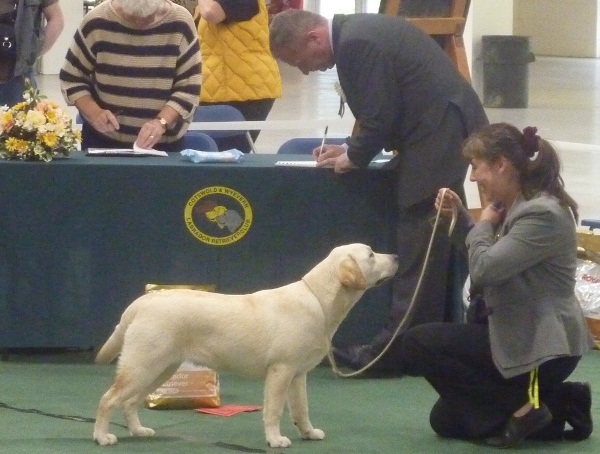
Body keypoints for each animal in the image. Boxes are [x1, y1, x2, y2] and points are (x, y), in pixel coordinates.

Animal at [92, 245, 398, 446]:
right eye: (371, 255)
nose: (396, 257)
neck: (319, 301)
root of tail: (144, 302)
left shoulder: (298, 375)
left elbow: (301, 409)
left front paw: (308, 433)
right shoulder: (280, 371)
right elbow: (274, 410)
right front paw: (275, 439)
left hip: (161, 369)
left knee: (129, 401)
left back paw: (138, 431)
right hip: (143, 366)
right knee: (108, 399)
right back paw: (101, 436)